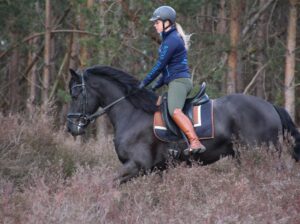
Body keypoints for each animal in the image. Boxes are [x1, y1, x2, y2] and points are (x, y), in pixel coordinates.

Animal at [67, 65, 300, 184]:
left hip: (262, 155)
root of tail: (270, 106)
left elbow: (107, 183)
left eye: (75, 94)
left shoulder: (136, 165)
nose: (71, 127)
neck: (131, 113)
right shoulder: (155, 170)